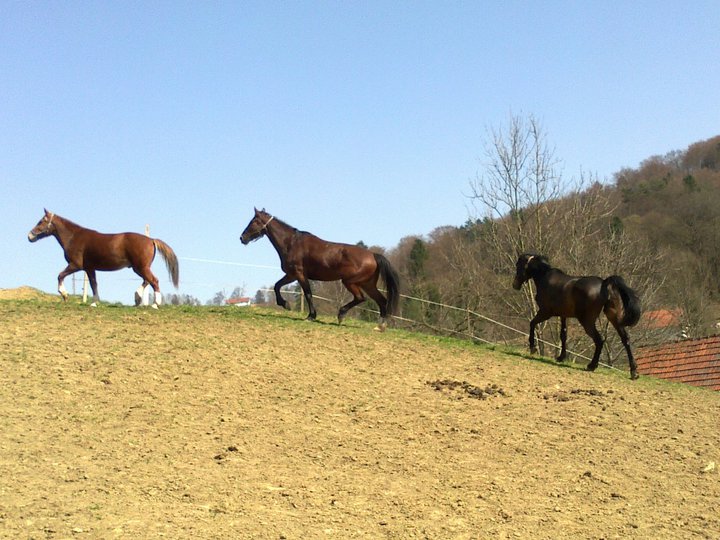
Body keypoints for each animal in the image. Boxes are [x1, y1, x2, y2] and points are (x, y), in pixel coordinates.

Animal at [28, 208, 179, 308]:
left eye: (41, 221)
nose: (29, 236)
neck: (74, 237)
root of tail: (151, 240)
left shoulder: (76, 265)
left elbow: (60, 275)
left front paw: (64, 294)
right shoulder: (89, 268)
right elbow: (94, 284)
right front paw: (94, 302)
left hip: (141, 267)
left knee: (154, 280)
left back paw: (155, 304)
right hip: (140, 267)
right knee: (147, 280)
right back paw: (137, 298)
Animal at [240, 209, 400, 332]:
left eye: (253, 221)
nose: (242, 238)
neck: (291, 243)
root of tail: (373, 255)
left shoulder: (299, 275)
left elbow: (308, 294)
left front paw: (310, 316)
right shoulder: (291, 275)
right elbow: (277, 286)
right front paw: (285, 304)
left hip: (350, 282)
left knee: (361, 298)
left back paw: (341, 315)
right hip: (368, 284)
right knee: (381, 301)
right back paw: (380, 326)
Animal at [512, 254, 640, 378]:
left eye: (518, 265)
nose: (515, 285)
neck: (545, 277)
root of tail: (604, 283)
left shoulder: (545, 312)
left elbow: (532, 323)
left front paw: (532, 347)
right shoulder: (563, 315)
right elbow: (563, 335)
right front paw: (561, 357)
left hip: (587, 321)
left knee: (599, 340)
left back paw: (592, 365)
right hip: (613, 317)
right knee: (625, 340)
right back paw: (633, 372)